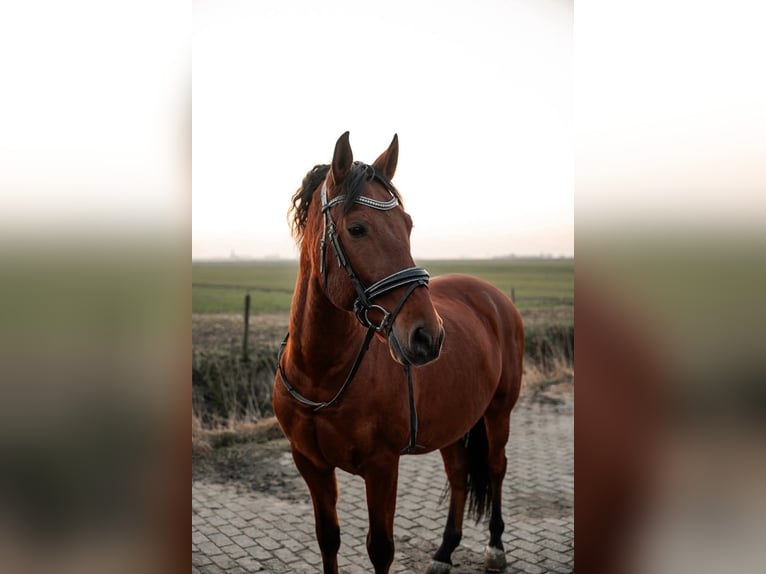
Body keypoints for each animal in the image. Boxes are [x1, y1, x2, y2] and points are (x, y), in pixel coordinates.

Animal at [273, 132, 524, 573]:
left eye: (407, 226)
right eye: (357, 228)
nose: (428, 336)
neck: (320, 374)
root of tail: (492, 297)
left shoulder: (382, 466)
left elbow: (381, 549)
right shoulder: (311, 465)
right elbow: (328, 538)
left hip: (498, 411)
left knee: (495, 468)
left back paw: (495, 547)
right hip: (455, 420)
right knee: (459, 475)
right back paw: (444, 552)